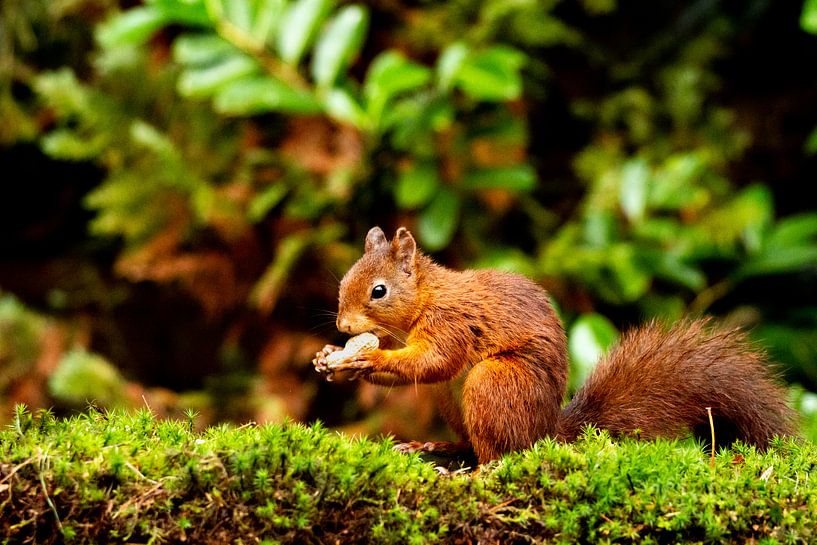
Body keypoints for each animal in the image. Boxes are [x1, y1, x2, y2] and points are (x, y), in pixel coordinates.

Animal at [310, 226, 792, 464]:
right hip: (453, 401)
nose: (343, 324)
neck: (427, 297)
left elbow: (432, 361)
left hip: (494, 384)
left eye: (378, 291)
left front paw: (366, 356)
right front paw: (330, 359)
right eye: (345, 280)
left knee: (500, 456)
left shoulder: (451, 324)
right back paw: (437, 448)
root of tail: (545, 432)